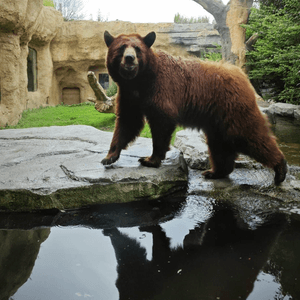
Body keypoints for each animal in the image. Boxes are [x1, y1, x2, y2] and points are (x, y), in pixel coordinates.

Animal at [102, 31, 288, 185]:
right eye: (121, 47)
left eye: (137, 49)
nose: (129, 58)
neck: (140, 81)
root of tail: (241, 75)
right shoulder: (129, 95)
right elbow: (127, 121)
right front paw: (109, 157)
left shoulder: (162, 90)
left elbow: (161, 123)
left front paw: (150, 159)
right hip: (217, 118)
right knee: (219, 144)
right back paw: (215, 172)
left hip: (232, 106)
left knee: (247, 134)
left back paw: (280, 169)